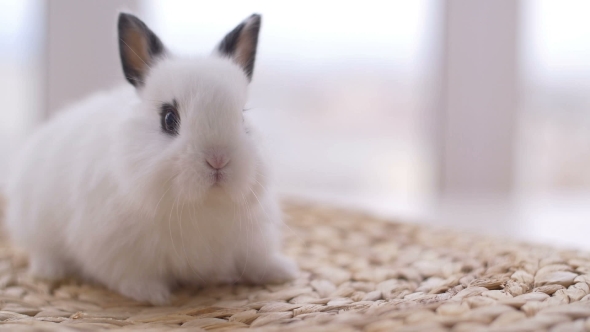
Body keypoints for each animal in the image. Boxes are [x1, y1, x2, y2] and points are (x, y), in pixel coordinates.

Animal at [4, 12, 298, 304]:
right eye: (168, 119)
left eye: (242, 118)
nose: (218, 160)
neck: (202, 206)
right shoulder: (117, 251)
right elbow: (132, 277)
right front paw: (154, 296)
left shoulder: (251, 239)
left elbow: (258, 260)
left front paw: (283, 272)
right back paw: (49, 271)